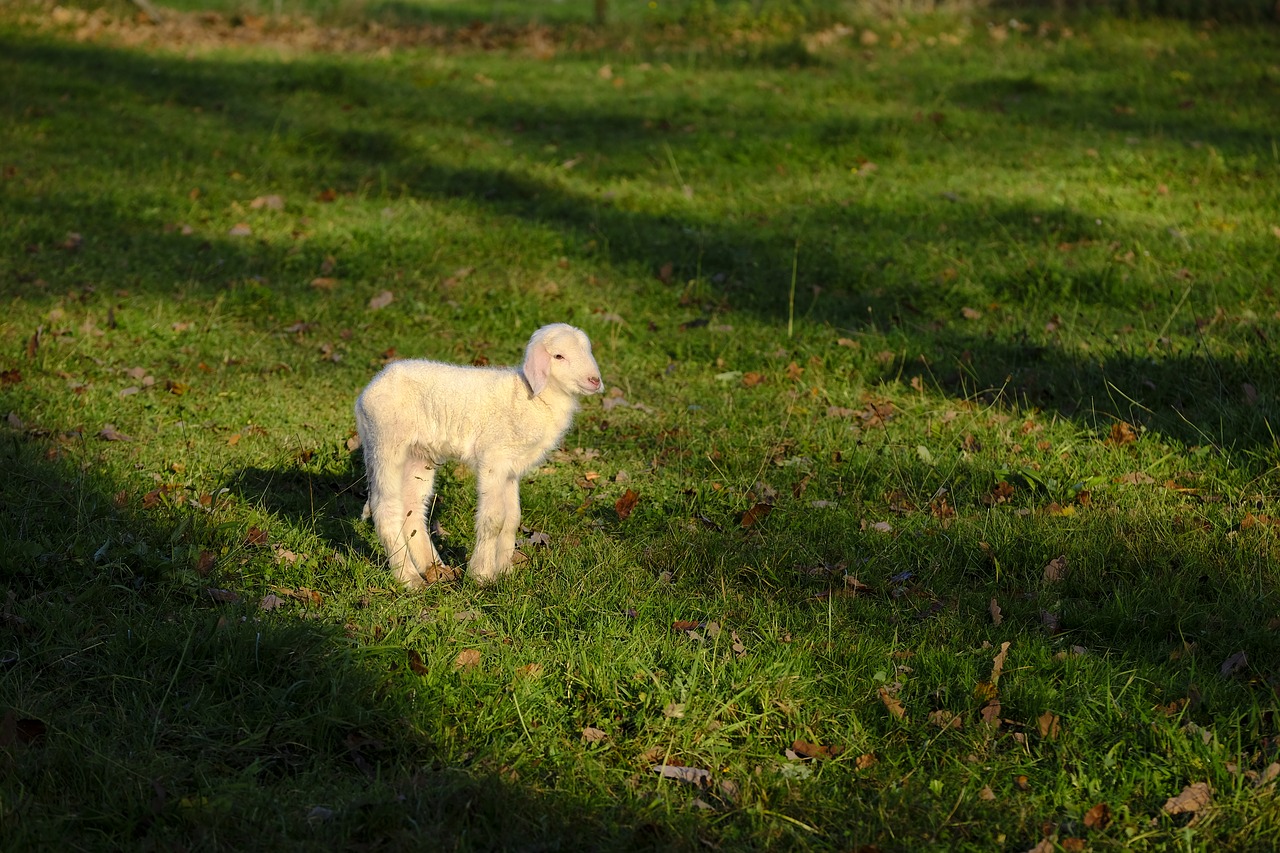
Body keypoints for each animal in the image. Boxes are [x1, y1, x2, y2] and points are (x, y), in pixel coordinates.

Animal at [355, 320, 604, 584]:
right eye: (558, 356)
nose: (594, 380)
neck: (530, 397)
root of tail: (368, 391)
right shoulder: (494, 460)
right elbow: (494, 520)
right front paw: (481, 574)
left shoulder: (511, 468)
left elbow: (512, 518)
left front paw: (505, 571)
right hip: (385, 444)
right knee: (386, 509)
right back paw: (409, 579)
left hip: (418, 456)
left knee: (411, 509)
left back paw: (435, 569)